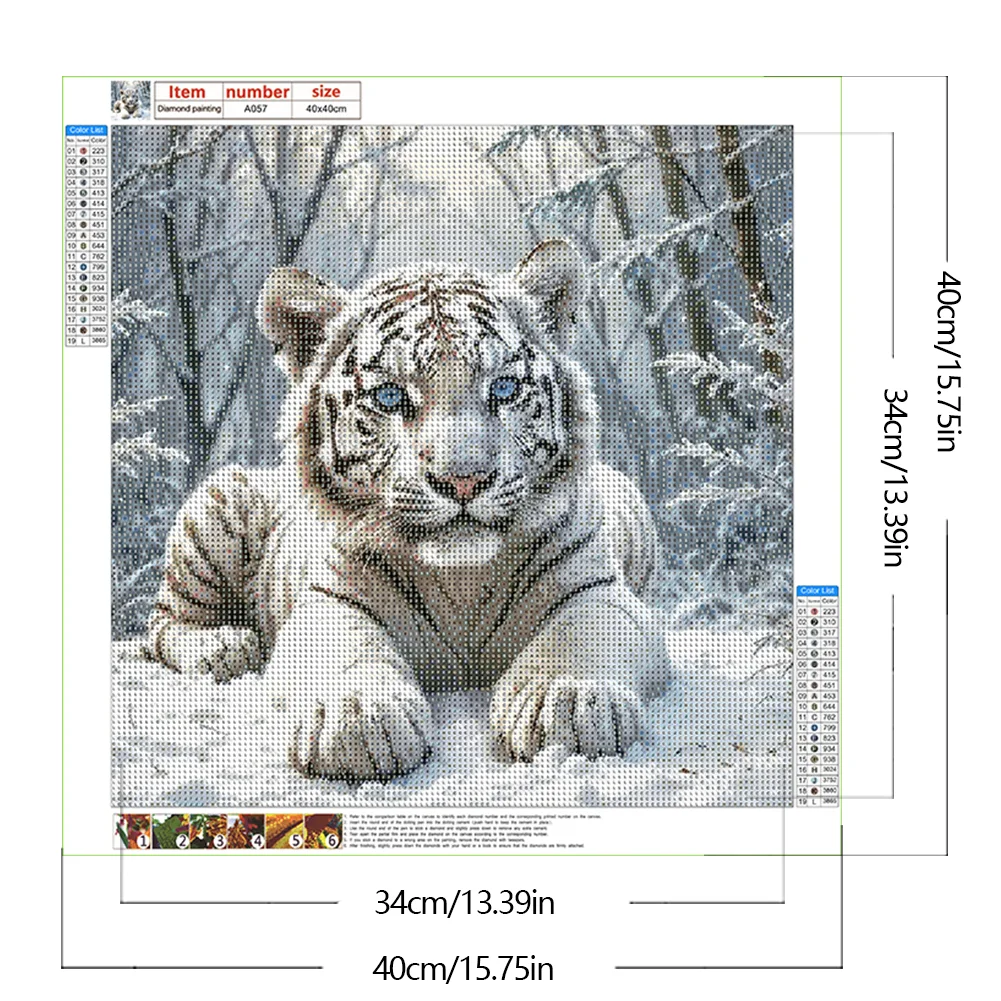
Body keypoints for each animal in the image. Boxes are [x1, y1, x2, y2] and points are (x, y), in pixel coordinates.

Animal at [146, 240, 669, 781]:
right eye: (391, 396)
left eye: (503, 389)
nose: (464, 478)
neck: (462, 581)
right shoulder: (327, 599)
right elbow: (347, 650)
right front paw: (358, 720)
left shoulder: (596, 588)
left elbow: (576, 638)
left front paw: (563, 702)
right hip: (217, 503)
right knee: (163, 625)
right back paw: (225, 647)